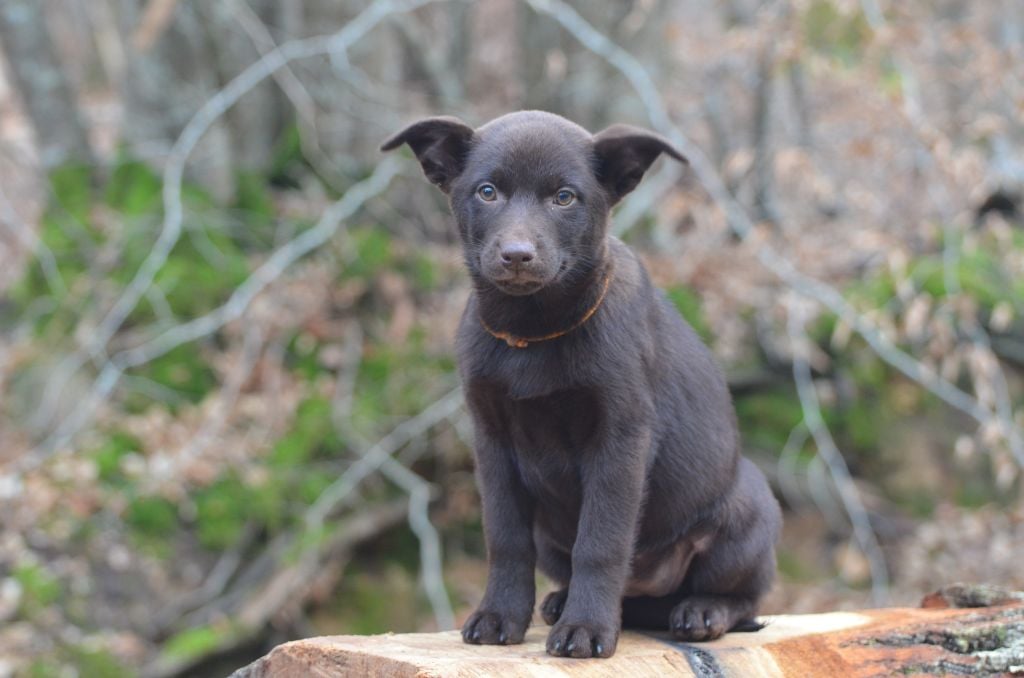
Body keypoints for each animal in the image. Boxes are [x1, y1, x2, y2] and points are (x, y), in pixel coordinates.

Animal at [380, 110, 778, 659]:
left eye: (565, 197)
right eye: (487, 192)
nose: (517, 255)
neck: (532, 333)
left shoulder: (620, 439)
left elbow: (601, 541)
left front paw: (586, 629)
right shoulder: (491, 439)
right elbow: (505, 538)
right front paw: (499, 616)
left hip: (744, 512)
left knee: (746, 599)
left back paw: (701, 611)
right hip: (551, 536)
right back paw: (559, 602)